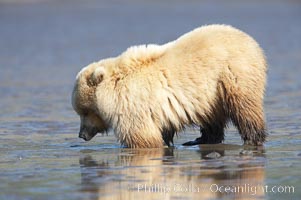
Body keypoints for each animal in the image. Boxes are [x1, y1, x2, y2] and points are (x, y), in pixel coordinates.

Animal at [71, 24, 266, 148]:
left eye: (85, 111)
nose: (82, 134)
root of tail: (250, 40)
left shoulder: (132, 103)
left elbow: (142, 136)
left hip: (233, 74)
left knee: (244, 107)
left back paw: (252, 138)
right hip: (212, 94)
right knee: (212, 116)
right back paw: (200, 139)